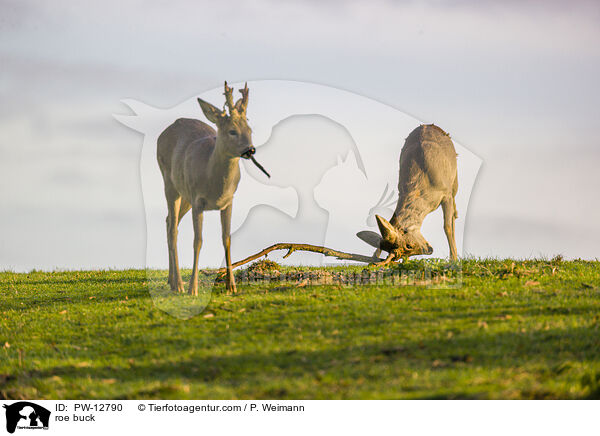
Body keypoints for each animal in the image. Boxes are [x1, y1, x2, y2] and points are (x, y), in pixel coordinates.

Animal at [156, 81, 268, 296]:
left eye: (250, 129)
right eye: (232, 131)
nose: (251, 150)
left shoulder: (229, 201)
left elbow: (227, 239)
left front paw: (231, 286)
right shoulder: (198, 200)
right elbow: (198, 241)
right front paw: (193, 288)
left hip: (185, 196)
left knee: (168, 221)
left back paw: (171, 280)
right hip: (170, 183)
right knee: (173, 228)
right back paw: (179, 284)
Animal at [356, 124, 460, 264]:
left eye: (408, 246)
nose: (429, 249)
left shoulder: (446, 194)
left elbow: (447, 226)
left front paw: (453, 260)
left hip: (454, 181)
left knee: (453, 214)